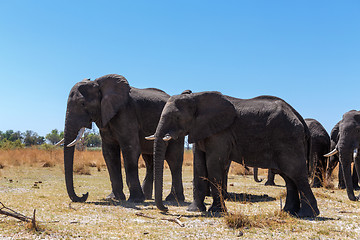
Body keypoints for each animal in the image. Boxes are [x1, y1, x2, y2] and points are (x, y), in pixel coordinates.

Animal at [60, 74, 184, 203]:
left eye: (83, 103)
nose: (84, 194)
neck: (100, 85)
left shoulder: (126, 113)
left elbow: (130, 149)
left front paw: (135, 200)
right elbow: (109, 153)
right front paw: (114, 198)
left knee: (173, 159)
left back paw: (173, 199)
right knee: (149, 161)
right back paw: (148, 197)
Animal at [148, 90, 320, 218]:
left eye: (177, 117)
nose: (167, 209)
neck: (195, 97)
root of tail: (299, 117)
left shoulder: (220, 133)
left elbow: (212, 164)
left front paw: (216, 211)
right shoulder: (201, 129)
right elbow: (199, 165)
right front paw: (194, 210)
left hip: (288, 139)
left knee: (296, 174)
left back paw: (307, 214)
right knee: (289, 176)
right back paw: (289, 212)